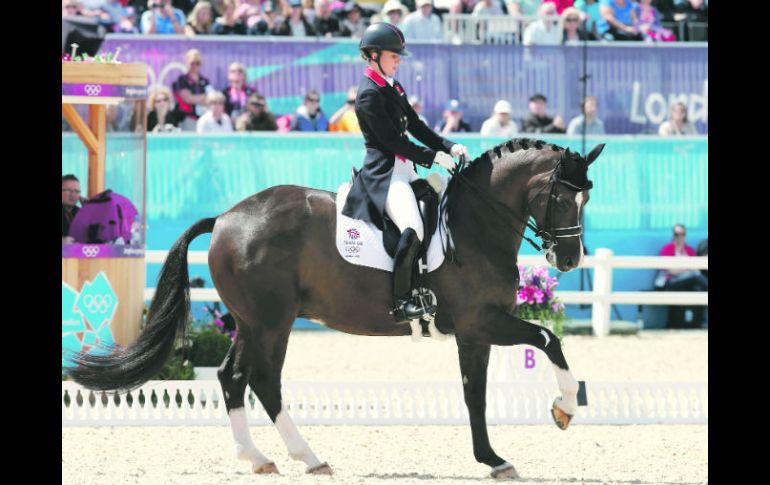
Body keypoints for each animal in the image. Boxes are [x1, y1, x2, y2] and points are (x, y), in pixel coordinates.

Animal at [66, 138, 604, 478]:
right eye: (561, 197)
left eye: (586, 199)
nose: (569, 259)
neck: (473, 224)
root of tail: (225, 218)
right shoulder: (481, 321)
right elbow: (548, 340)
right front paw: (563, 408)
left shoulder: (475, 331)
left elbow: (476, 395)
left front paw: (493, 458)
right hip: (272, 322)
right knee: (262, 380)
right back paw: (307, 456)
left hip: (250, 322)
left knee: (231, 376)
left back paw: (259, 457)